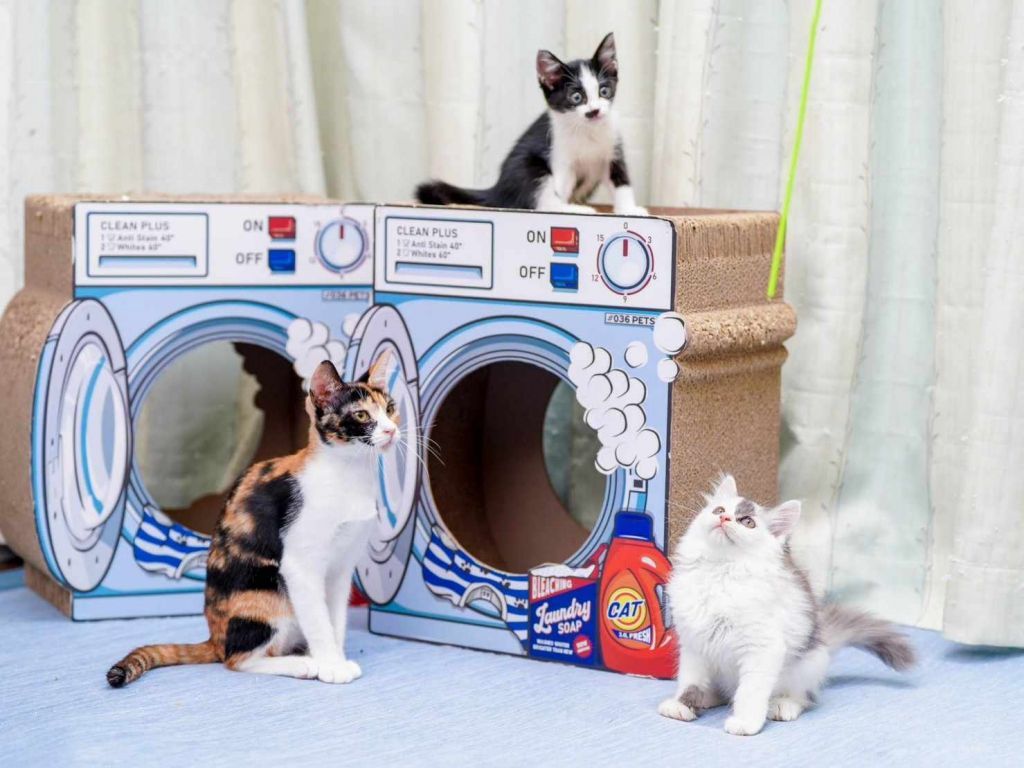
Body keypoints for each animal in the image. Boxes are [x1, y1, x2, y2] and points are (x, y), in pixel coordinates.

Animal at [106, 355, 399, 687]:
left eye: (390, 409)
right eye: (362, 414)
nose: (391, 430)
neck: (349, 475)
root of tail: (214, 638)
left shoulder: (340, 568)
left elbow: (334, 618)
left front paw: (336, 657)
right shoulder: (300, 565)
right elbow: (318, 619)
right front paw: (329, 665)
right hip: (266, 593)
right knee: (237, 659)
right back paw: (301, 664)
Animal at [415, 32, 648, 216]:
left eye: (604, 91)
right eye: (576, 97)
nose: (595, 111)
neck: (587, 130)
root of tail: (497, 188)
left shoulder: (613, 149)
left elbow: (621, 182)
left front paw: (629, 210)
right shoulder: (559, 155)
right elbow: (559, 188)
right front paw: (566, 208)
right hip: (527, 167)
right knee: (543, 199)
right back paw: (576, 209)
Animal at [658, 474, 915, 736]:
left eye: (748, 522)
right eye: (719, 510)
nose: (724, 518)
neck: (719, 571)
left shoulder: (763, 647)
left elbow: (750, 691)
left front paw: (746, 723)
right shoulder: (694, 644)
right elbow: (690, 682)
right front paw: (682, 706)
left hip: (809, 665)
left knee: (805, 698)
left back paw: (783, 706)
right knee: (723, 693)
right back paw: (708, 698)